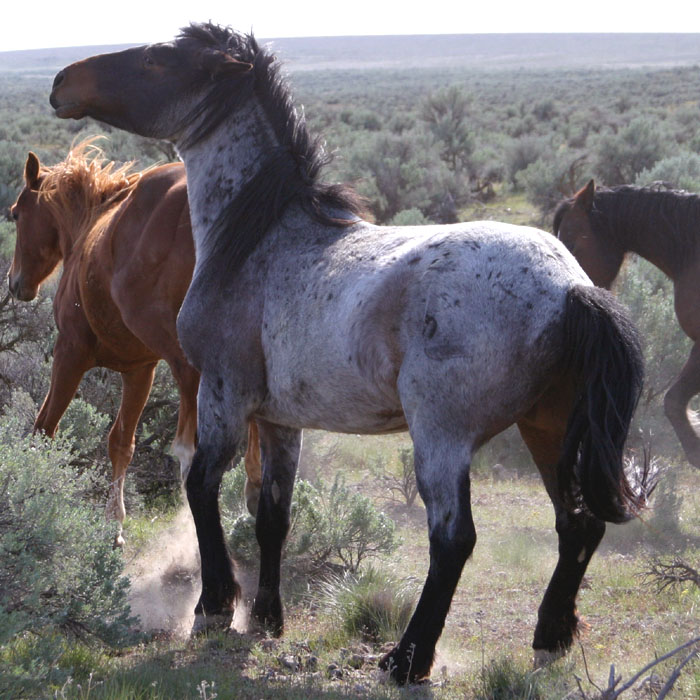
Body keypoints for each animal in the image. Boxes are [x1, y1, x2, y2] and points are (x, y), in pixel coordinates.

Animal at [9, 141, 262, 548]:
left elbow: (44, 427)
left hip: (185, 355)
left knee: (192, 440)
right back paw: (254, 488)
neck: (88, 229)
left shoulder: (70, 352)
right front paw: (114, 526)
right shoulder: (139, 369)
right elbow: (121, 443)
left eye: (15, 214)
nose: (15, 283)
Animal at [50, 24, 652, 680]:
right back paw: (549, 638)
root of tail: (571, 287)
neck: (259, 239)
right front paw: (265, 618)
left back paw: (406, 659)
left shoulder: (223, 394)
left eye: (160, 59)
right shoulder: (277, 420)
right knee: (578, 525)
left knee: (454, 539)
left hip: (442, 436)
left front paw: (214, 606)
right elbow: (271, 514)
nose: (62, 81)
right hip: (547, 426)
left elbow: (201, 486)